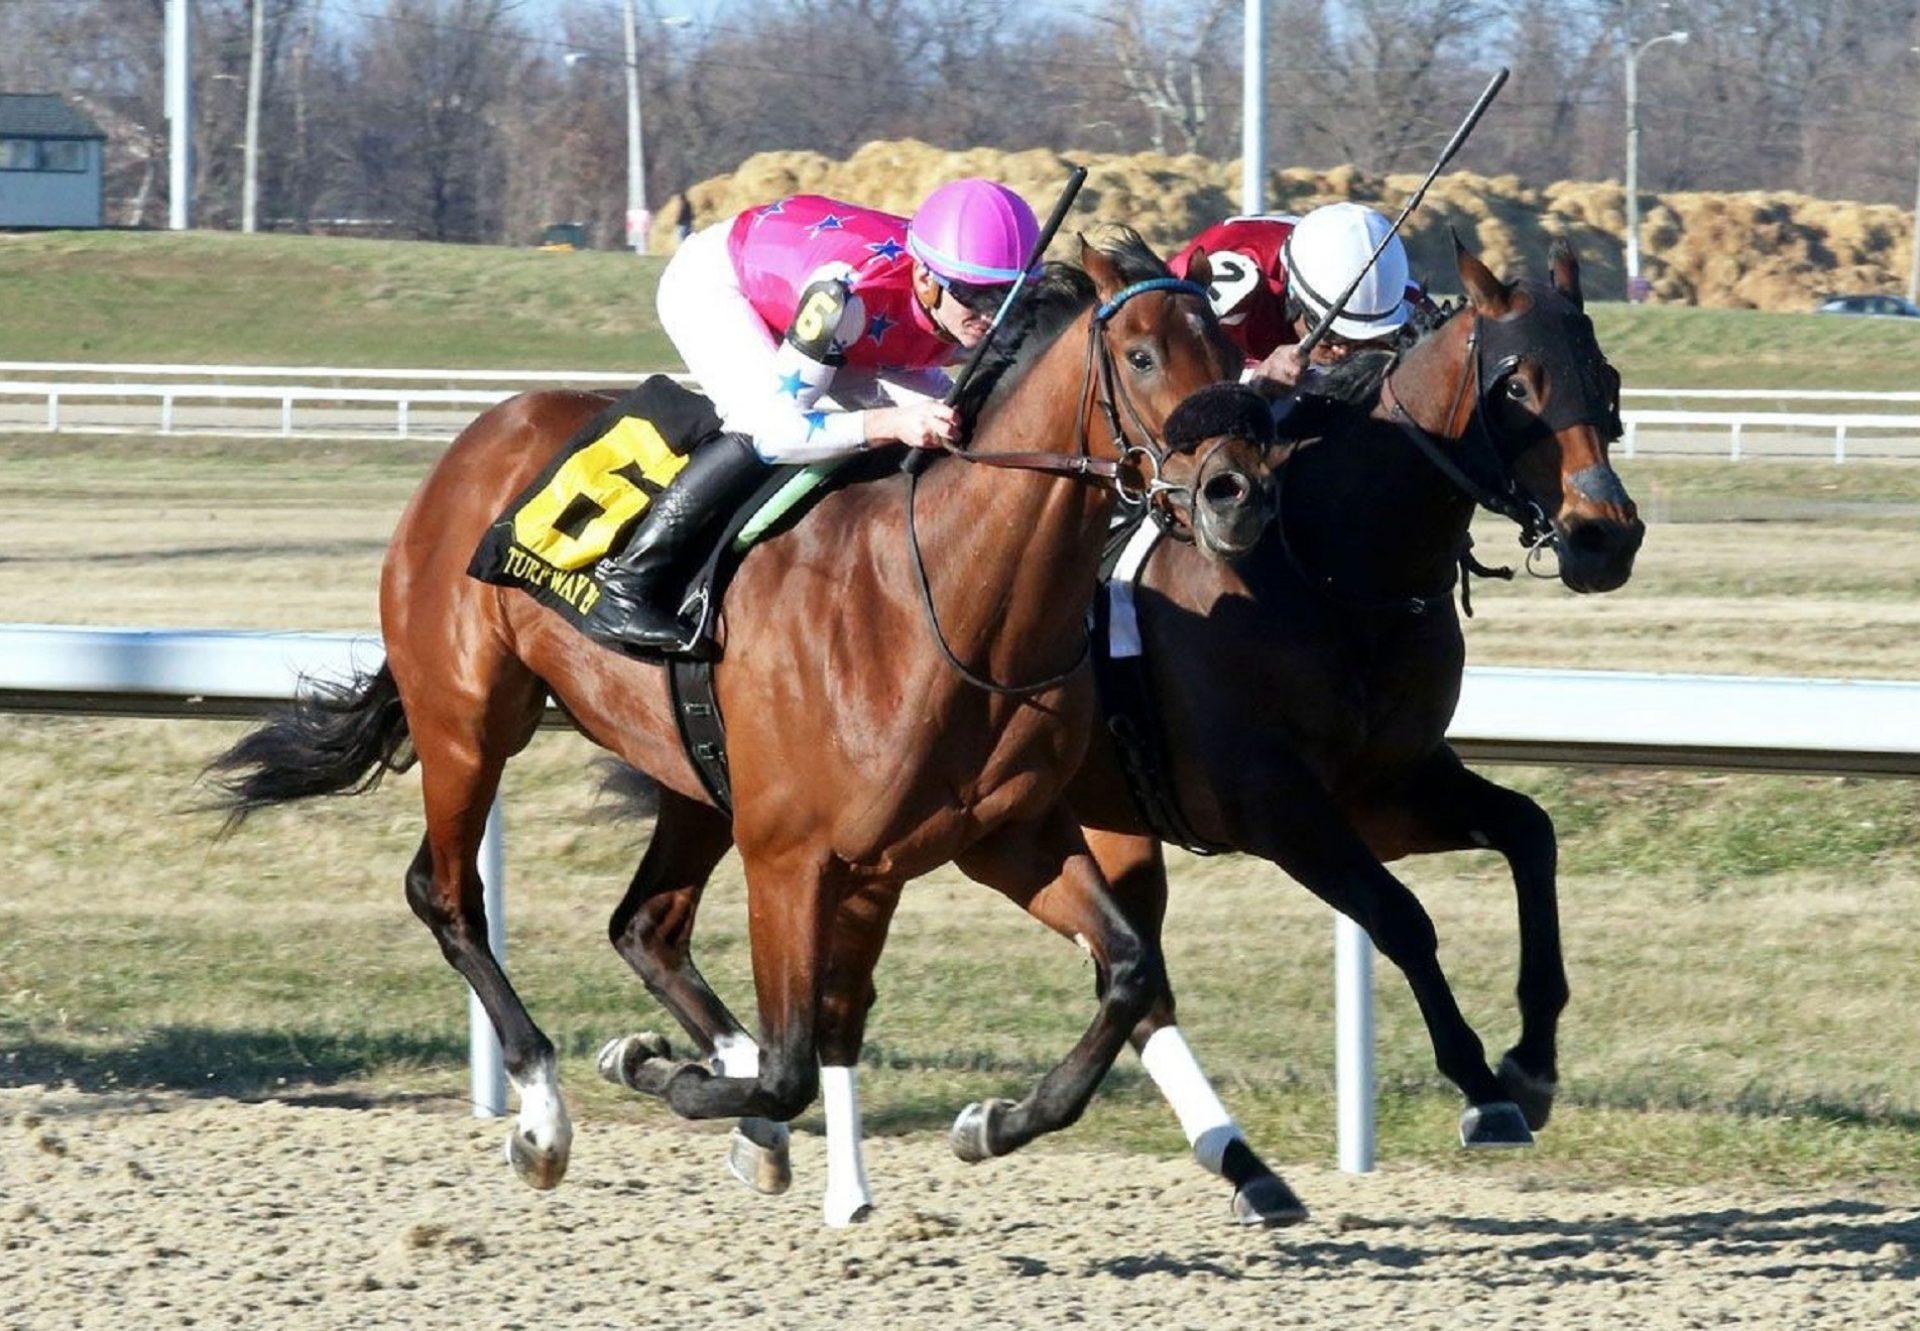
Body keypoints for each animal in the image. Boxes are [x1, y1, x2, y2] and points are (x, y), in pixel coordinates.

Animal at [206, 231, 1274, 1190]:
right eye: (1141, 356)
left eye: (1231, 358)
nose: (1238, 495)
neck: (947, 601)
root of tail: (476, 436)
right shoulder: (791, 854)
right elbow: (794, 1061)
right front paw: (658, 1071)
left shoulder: (1005, 834)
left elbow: (1127, 966)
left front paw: (993, 1122)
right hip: (469, 719)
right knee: (448, 893)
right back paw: (546, 1114)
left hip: (693, 771)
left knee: (645, 924)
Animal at [606, 233, 1643, 1221]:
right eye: (1517, 387)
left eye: (1606, 378)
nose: (1606, 535)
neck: (1323, 565)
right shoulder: (1276, 805)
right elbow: (1401, 916)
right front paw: (1484, 1085)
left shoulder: (1387, 783)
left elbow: (1528, 834)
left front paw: (1530, 1059)